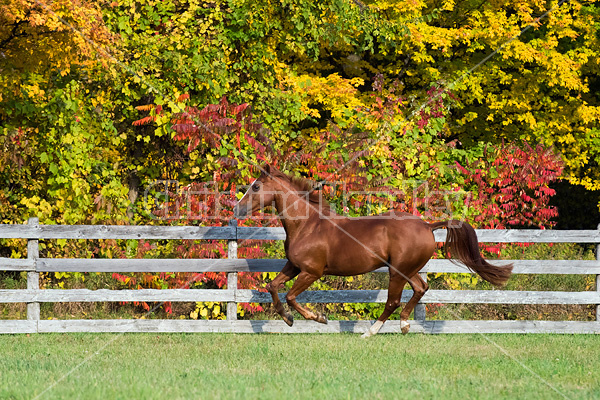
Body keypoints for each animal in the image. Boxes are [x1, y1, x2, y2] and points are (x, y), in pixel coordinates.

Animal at [232, 164, 512, 336]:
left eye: (256, 187)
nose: (236, 209)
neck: (307, 225)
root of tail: (427, 225)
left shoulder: (312, 272)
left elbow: (290, 296)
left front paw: (318, 318)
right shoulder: (293, 266)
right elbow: (273, 286)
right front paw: (287, 318)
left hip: (397, 272)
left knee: (393, 301)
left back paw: (370, 332)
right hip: (406, 269)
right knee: (420, 288)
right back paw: (405, 324)